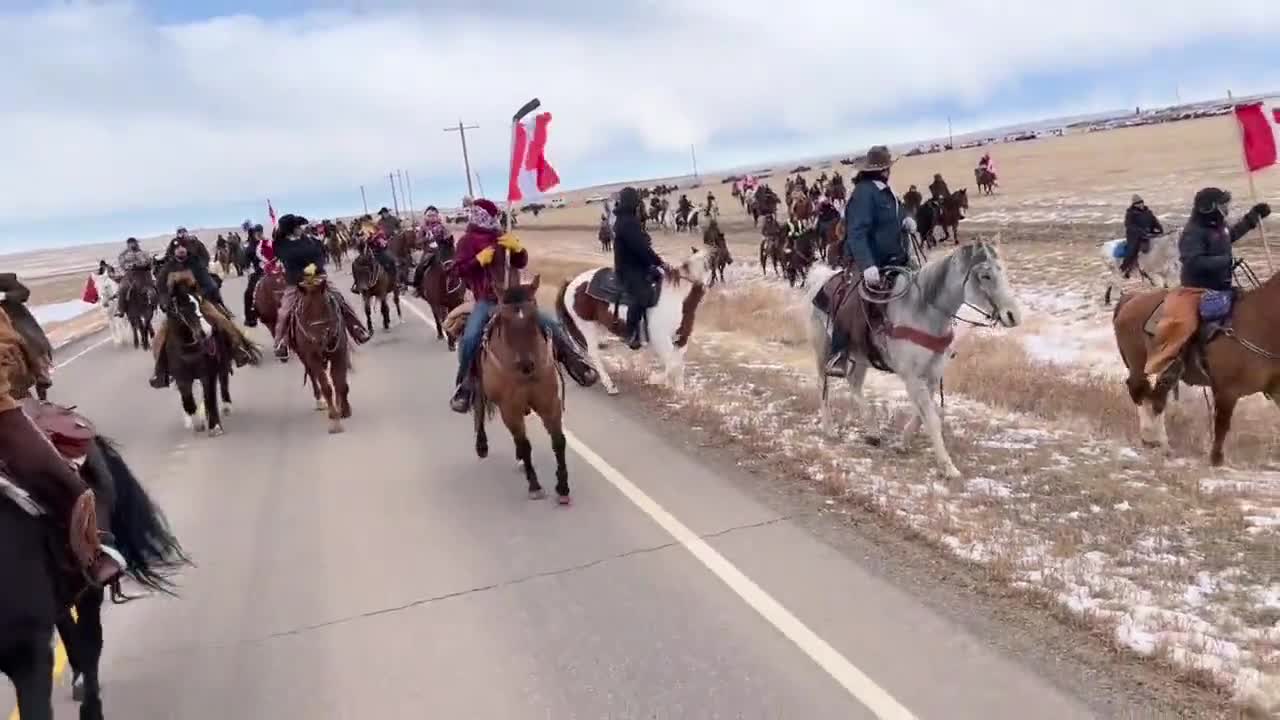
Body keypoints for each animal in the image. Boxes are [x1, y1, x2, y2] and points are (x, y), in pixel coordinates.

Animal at [160, 272, 238, 430]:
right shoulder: (182, 378)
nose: (206, 331)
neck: (187, 349)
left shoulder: (207, 373)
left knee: (223, 381)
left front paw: (214, 426)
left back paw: (226, 406)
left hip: (223, 363)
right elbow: (188, 400)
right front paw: (194, 422)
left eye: (199, 302)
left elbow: (209, 397)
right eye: (182, 307)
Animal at [289, 272, 353, 430]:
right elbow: (326, 386)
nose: (318, 340)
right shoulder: (313, 357)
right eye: (305, 310)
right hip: (304, 357)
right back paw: (321, 402)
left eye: (325, 305)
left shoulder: (339, 353)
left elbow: (340, 383)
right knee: (314, 377)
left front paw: (345, 409)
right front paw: (334, 417)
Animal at [471, 275, 570, 504]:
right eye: (505, 320)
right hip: (480, 387)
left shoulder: (549, 403)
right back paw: (482, 445)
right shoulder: (510, 408)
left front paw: (563, 488)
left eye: (534, 315)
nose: (526, 364)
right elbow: (525, 445)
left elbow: (558, 441)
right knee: (480, 410)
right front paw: (534, 486)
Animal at [552, 244, 711, 392]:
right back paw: (610, 385)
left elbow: (678, 363)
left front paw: (678, 389)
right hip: (587, 326)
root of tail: (572, 282)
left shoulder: (681, 339)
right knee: (594, 353)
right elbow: (673, 364)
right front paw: (655, 380)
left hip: (600, 325)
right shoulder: (661, 340)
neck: (677, 297)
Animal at [808, 239, 1018, 476]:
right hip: (823, 349)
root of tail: (821, 280)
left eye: (1003, 270)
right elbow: (931, 418)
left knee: (854, 384)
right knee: (822, 384)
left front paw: (903, 442)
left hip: (862, 357)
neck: (923, 311)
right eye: (985, 275)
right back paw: (829, 428)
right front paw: (948, 466)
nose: (1013, 316)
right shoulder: (912, 377)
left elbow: (923, 413)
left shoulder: (931, 376)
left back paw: (872, 431)